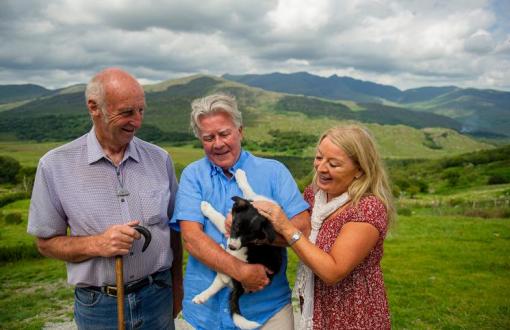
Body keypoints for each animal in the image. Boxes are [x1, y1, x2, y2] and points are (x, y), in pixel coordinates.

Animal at [194, 169, 284, 328]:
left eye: (249, 237)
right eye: (236, 227)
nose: (232, 246)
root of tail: (240, 288)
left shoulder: (232, 233)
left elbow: (220, 219)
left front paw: (206, 208)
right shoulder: (253, 201)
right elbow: (249, 191)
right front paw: (240, 175)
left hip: (246, 256)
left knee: (227, 270)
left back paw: (222, 250)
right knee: (220, 281)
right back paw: (201, 297)